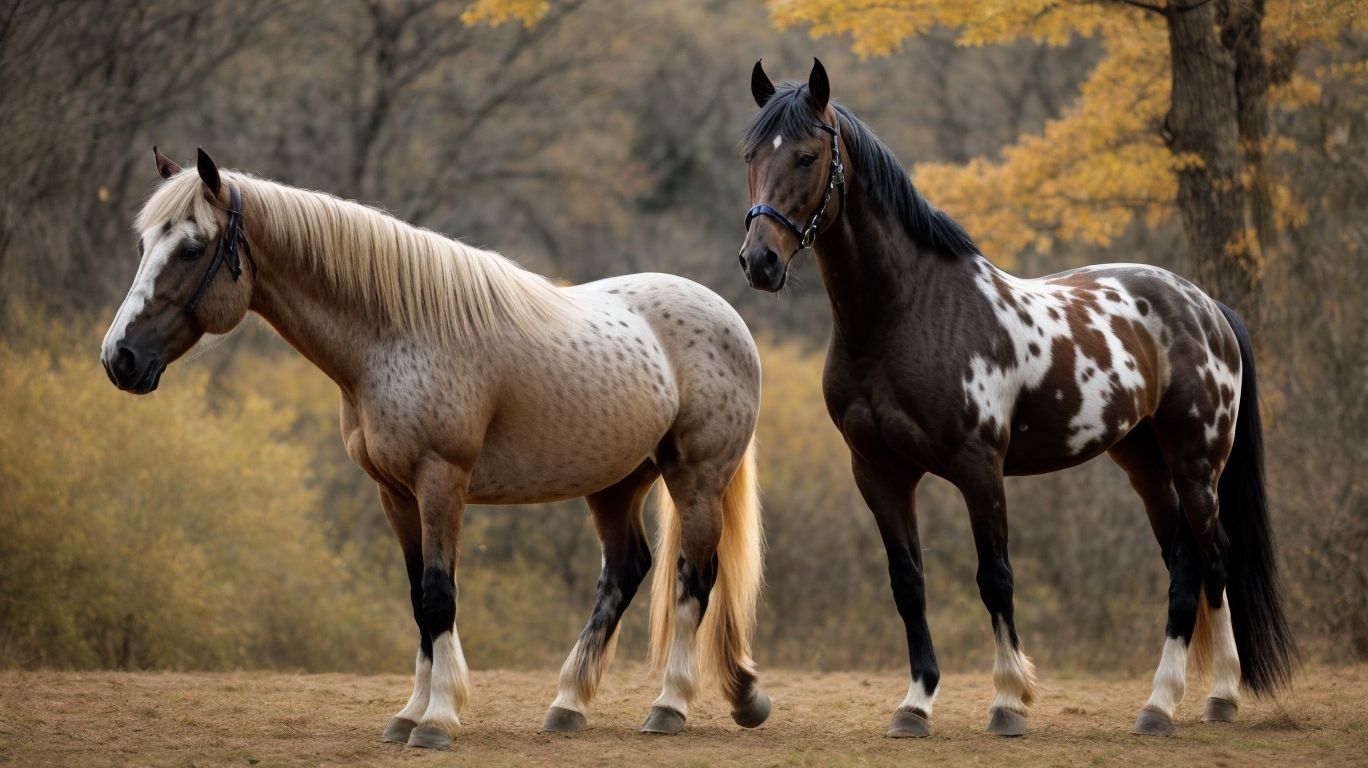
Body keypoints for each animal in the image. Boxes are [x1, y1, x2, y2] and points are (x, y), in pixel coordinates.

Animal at [101, 148, 773, 749]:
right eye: (142, 246)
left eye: (191, 248)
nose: (119, 358)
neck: (395, 333)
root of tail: (730, 320)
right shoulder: (395, 493)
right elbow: (417, 599)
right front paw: (409, 714)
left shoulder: (440, 481)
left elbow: (438, 592)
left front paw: (439, 718)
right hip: (616, 484)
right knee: (625, 571)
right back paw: (569, 705)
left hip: (696, 480)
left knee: (694, 575)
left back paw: (669, 705)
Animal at [737, 59, 1295, 738]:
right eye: (751, 155)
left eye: (808, 156)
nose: (760, 261)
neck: (907, 314)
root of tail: (1206, 305)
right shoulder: (878, 472)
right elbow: (908, 583)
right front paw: (915, 703)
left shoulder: (980, 468)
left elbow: (995, 577)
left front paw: (1007, 701)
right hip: (1144, 463)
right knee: (1186, 562)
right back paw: (1190, 698)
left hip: (1197, 464)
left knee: (1210, 562)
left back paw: (1181, 702)